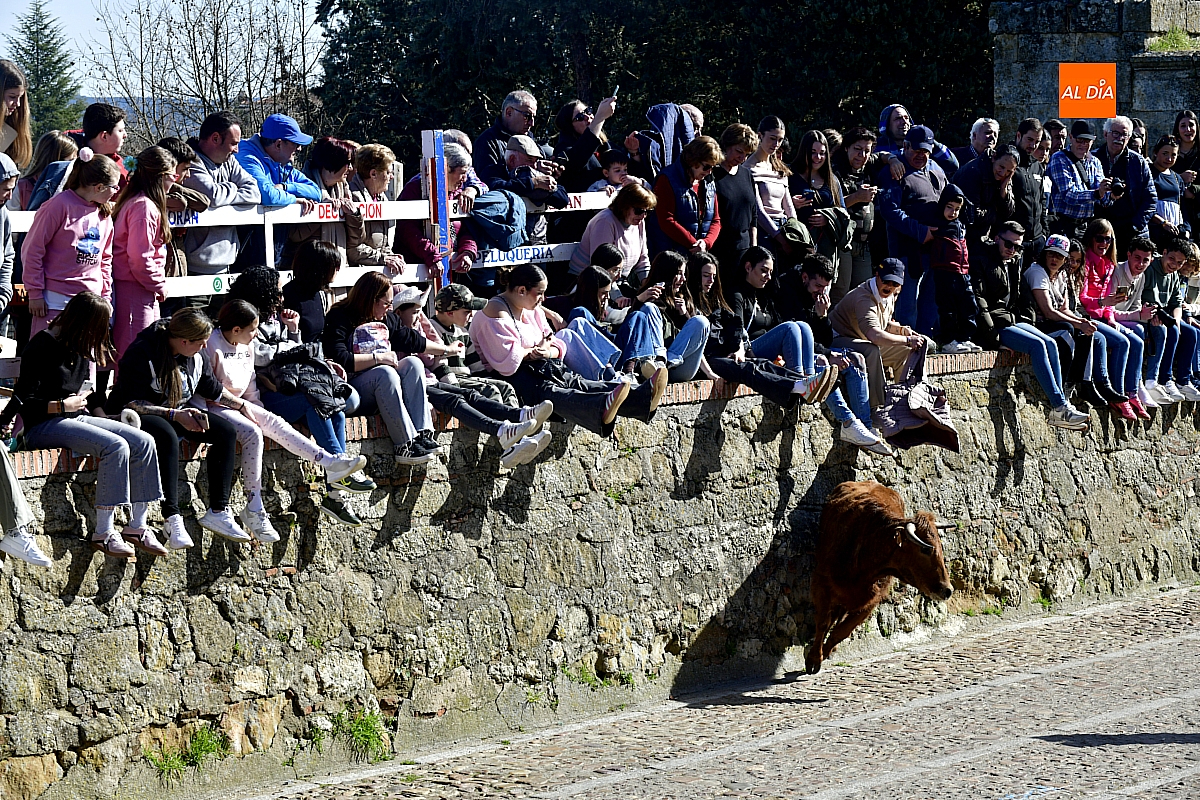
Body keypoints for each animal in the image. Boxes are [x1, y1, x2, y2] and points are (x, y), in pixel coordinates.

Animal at [805, 480, 954, 675]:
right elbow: (823, 622)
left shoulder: (871, 601)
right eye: (925, 549)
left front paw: (826, 651)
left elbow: (842, 631)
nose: (948, 590)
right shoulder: (821, 583)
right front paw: (814, 659)